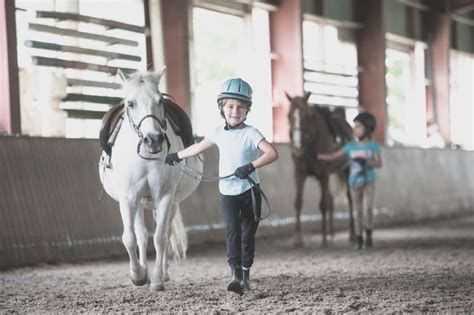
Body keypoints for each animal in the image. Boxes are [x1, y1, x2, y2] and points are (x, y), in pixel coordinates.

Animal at [99, 68, 203, 292]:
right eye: (130, 103)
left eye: (160, 101)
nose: (153, 139)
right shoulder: (128, 198)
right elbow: (130, 238)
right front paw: (138, 276)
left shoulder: (164, 196)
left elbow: (160, 238)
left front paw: (156, 280)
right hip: (138, 203)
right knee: (140, 234)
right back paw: (144, 271)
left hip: (171, 203)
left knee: (166, 231)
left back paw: (162, 273)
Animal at [286, 92, 356, 247]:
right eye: (288, 115)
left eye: (307, 115)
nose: (297, 146)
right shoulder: (299, 174)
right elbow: (298, 202)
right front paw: (298, 238)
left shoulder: (323, 174)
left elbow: (323, 205)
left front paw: (323, 238)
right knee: (330, 199)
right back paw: (331, 232)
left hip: (346, 171)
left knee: (349, 200)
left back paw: (352, 234)